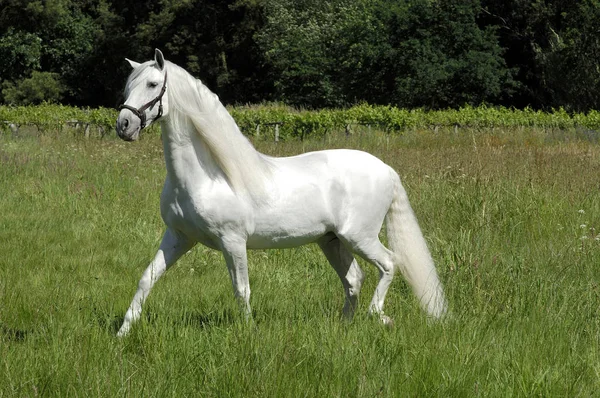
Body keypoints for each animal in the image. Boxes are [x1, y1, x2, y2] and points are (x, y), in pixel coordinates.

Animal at [116, 49, 446, 336]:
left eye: (153, 84)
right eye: (128, 87)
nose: (124, 125)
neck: (207, 177)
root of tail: (387, 170)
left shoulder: (232, 241)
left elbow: (241, 289)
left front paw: (248, 332)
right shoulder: (179, 237)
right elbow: (146, 278)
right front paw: (122, 333)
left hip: (359, 237)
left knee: (389, 263)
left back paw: (378, 315)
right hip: (331, 241)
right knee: (354, 279)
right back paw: (344, 327)